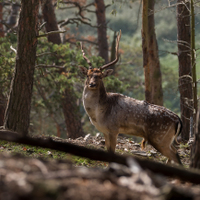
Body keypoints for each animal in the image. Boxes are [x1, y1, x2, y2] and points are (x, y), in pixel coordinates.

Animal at [79, 30, 182, 164]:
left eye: (100, 76)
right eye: (88, 75)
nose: (92, 84)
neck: (99, 115)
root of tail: (178, 119)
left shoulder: (114, 129)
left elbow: (112, 152)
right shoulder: (105, 131)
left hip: (159, 137)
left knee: (175, 155)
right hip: (167, 139)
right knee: (175, 152)